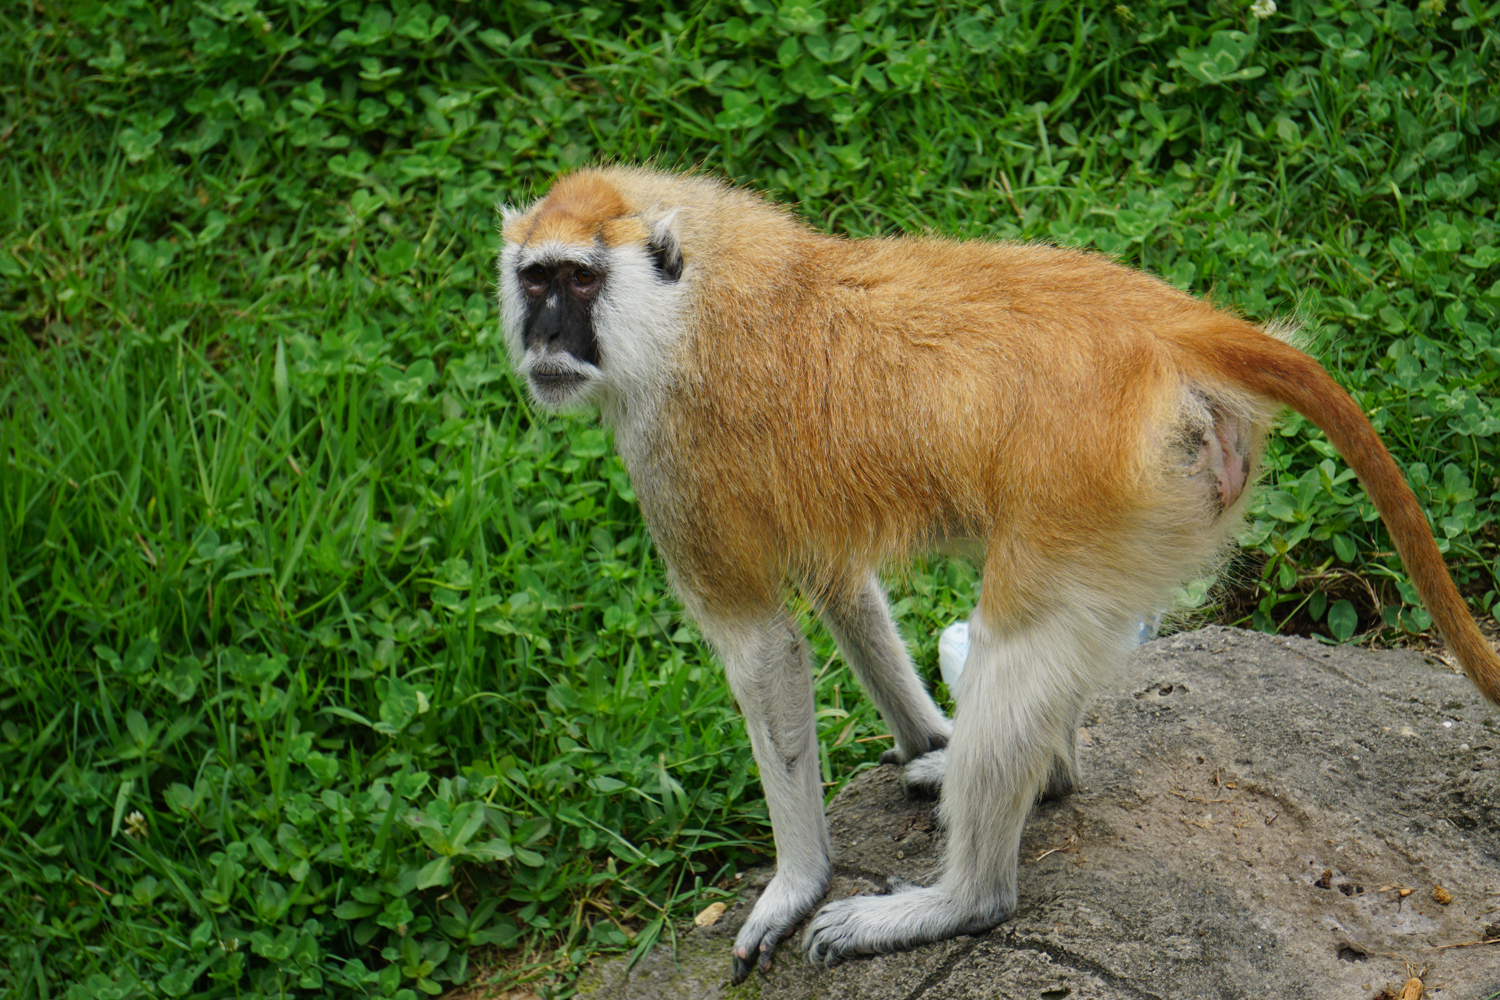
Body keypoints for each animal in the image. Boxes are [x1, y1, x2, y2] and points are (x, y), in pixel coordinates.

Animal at [497, 166, 1500, 982]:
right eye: (534, 277)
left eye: (580, 279)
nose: (545, 334)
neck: (692, 292)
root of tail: (1173, 324)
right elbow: (840, 586)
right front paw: (926, 738)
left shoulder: (677, 456)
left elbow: (763, 654)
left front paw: (794, 886)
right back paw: (1028, 777)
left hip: (1090, 488)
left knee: (1017, 644)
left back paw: (958, 900)